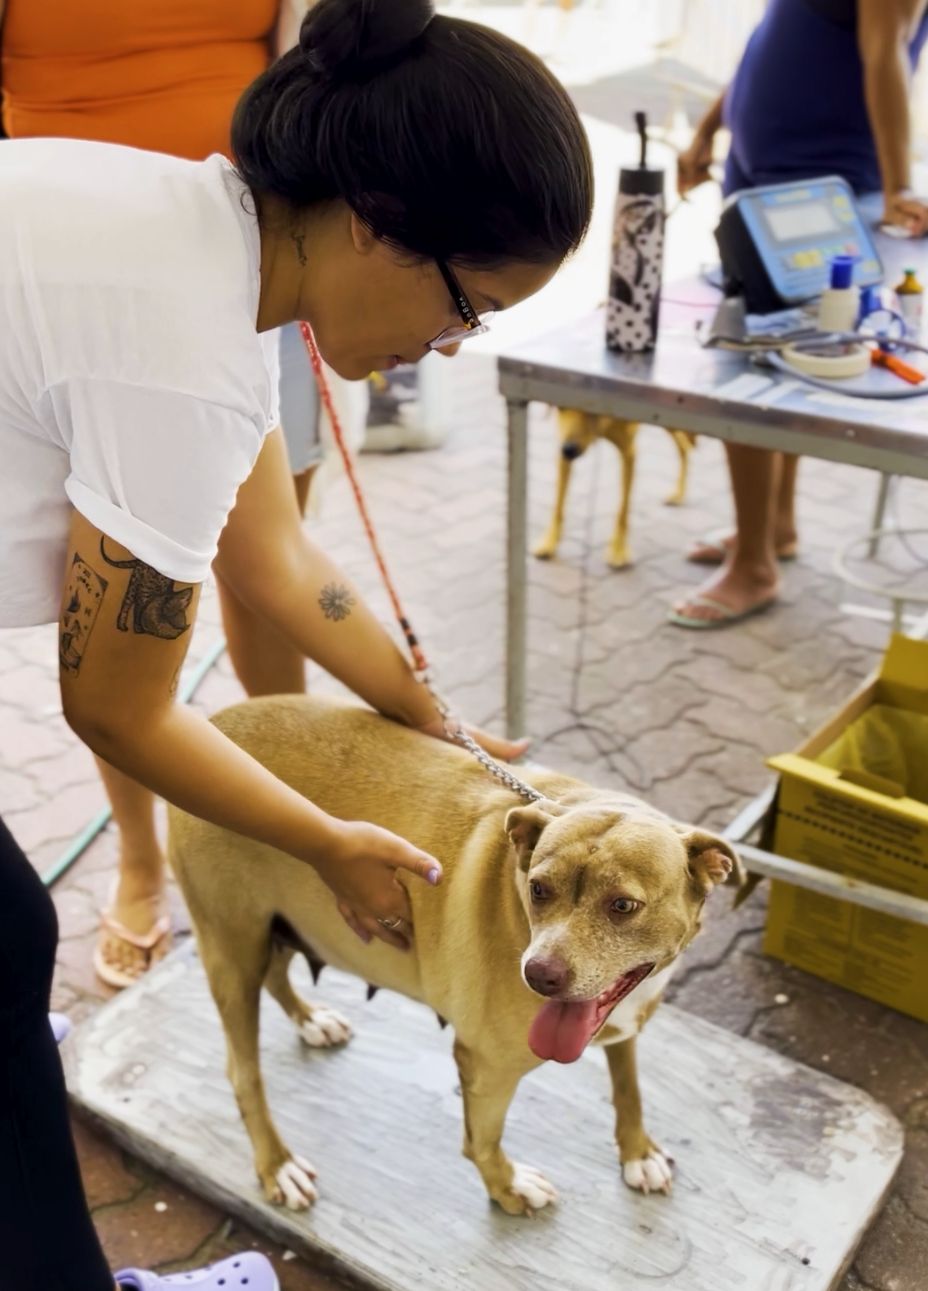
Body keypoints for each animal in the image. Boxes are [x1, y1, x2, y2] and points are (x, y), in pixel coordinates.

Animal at [169, 697, 748, 1208]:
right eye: (538, 889)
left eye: (623, 905)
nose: (538, 976)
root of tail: (214, 720)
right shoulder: (486, 1063)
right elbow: (483, 1140)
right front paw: (508, 1188)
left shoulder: (622, 1023)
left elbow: (629, 1086)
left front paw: (637, 1151)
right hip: (230, 946)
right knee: (243, 1074)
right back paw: (278, 1165)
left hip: (278, 927)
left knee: (275, 973)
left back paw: (311, 1019)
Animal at [534, 405, 691, 568]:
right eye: (561, 408)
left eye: (591, 412)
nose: (569, 449)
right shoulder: (563, 450)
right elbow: (558, 505)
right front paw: (549, 541)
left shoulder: (629, 453)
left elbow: (623, 509)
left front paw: (618, 549)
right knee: (683, 447)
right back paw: (678, 492)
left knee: (684, 445)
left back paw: (679, 492)